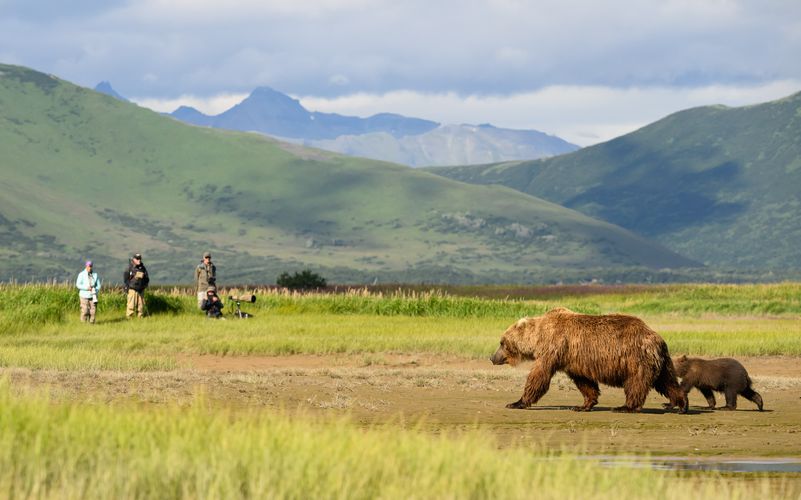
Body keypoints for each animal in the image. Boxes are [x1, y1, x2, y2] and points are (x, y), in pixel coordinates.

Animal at [490, 308, 688, 413]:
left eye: (501, 342)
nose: (492, 357)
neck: (539, 336)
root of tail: (657, 337)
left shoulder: (553, 348)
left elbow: (539, 376)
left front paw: (516, 402)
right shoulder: (572, 359)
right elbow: (585, 382)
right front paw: (583, 405)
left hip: (636, 358)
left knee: (636, 383)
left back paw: (624, 406)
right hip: (661, 361)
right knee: (667, 381)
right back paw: (681, 404)